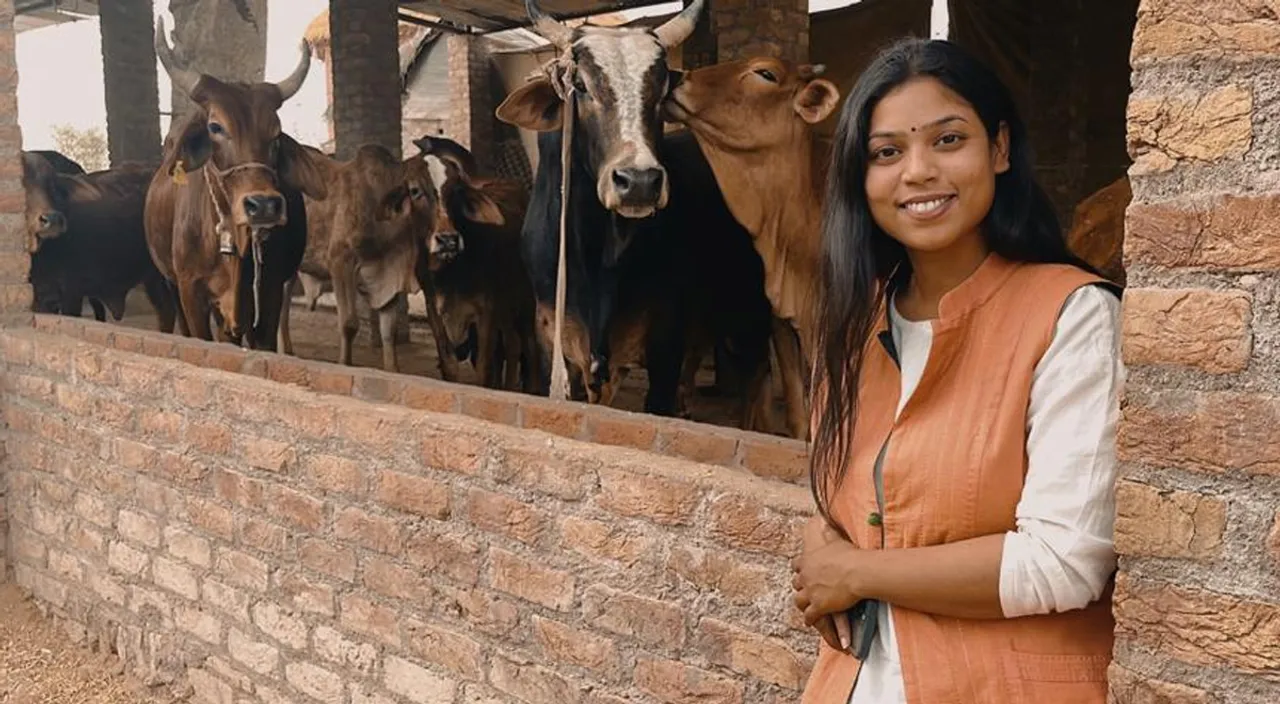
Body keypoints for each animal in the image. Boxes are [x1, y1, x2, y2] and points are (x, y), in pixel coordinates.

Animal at [144, 13, 330, 350]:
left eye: (276, 134)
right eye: (215, 127)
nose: (264, 205)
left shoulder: (268, 292)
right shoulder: (191, 292)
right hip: (172, 283)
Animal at [290, 143, 424, 376]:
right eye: (418, 192)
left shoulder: (389, 277)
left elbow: (389, 331)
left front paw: (393, 369)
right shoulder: (340, 263)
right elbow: (349, 323)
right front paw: (345, 363)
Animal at [409, 135, 540, 394]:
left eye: (456, 191)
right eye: (415, 191)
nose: (447, 239)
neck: (451, 273)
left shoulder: (486, 312)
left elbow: (484, 368)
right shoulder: (434, 311)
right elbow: (449, 366)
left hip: (524, 304)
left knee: (527, 348)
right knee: (512, 345)